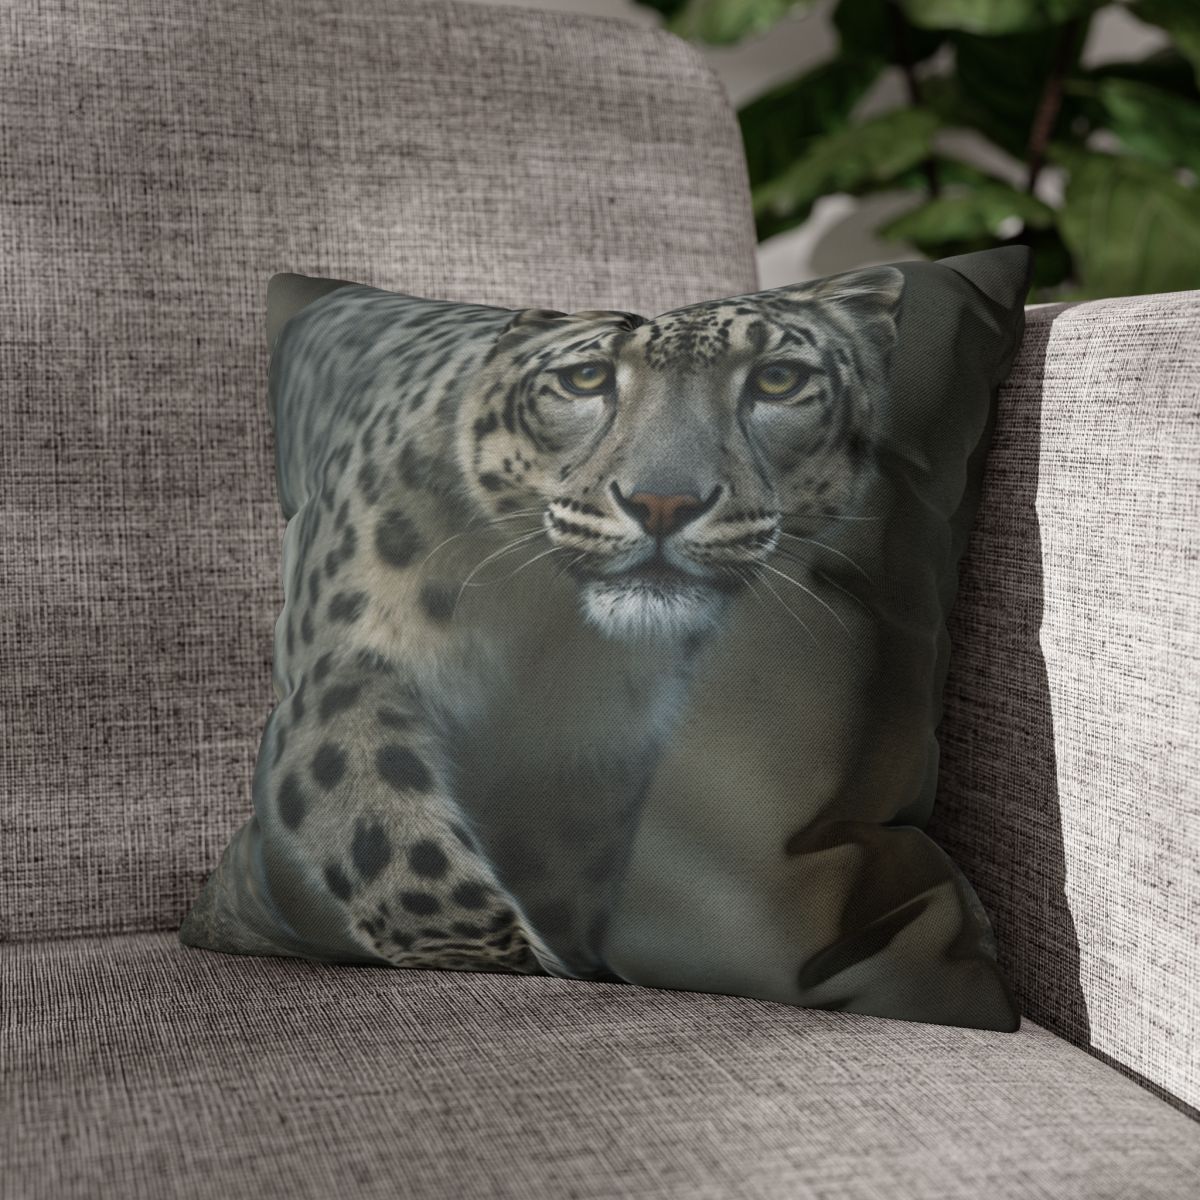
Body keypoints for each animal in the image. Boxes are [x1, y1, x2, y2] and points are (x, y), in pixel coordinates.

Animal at [179, 267, 904, 983]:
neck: (535, 626)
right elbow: (388, 833)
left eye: (777, 379)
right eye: (585, 379)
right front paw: (497, 951)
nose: (662, 503)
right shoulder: (348, 668)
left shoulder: (587, 760)